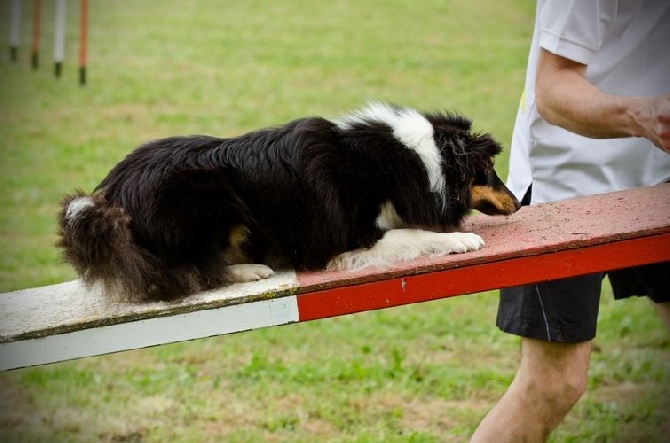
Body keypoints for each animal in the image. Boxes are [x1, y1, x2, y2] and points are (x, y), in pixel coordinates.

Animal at [56, 103, 520, 304]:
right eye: (489, 169)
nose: (518, 202)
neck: (406, 160)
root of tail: (109, 196)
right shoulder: (348, 237)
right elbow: (414, 234)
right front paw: (461, 240)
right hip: (210, 196)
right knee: (189, 271)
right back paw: (249, 269)